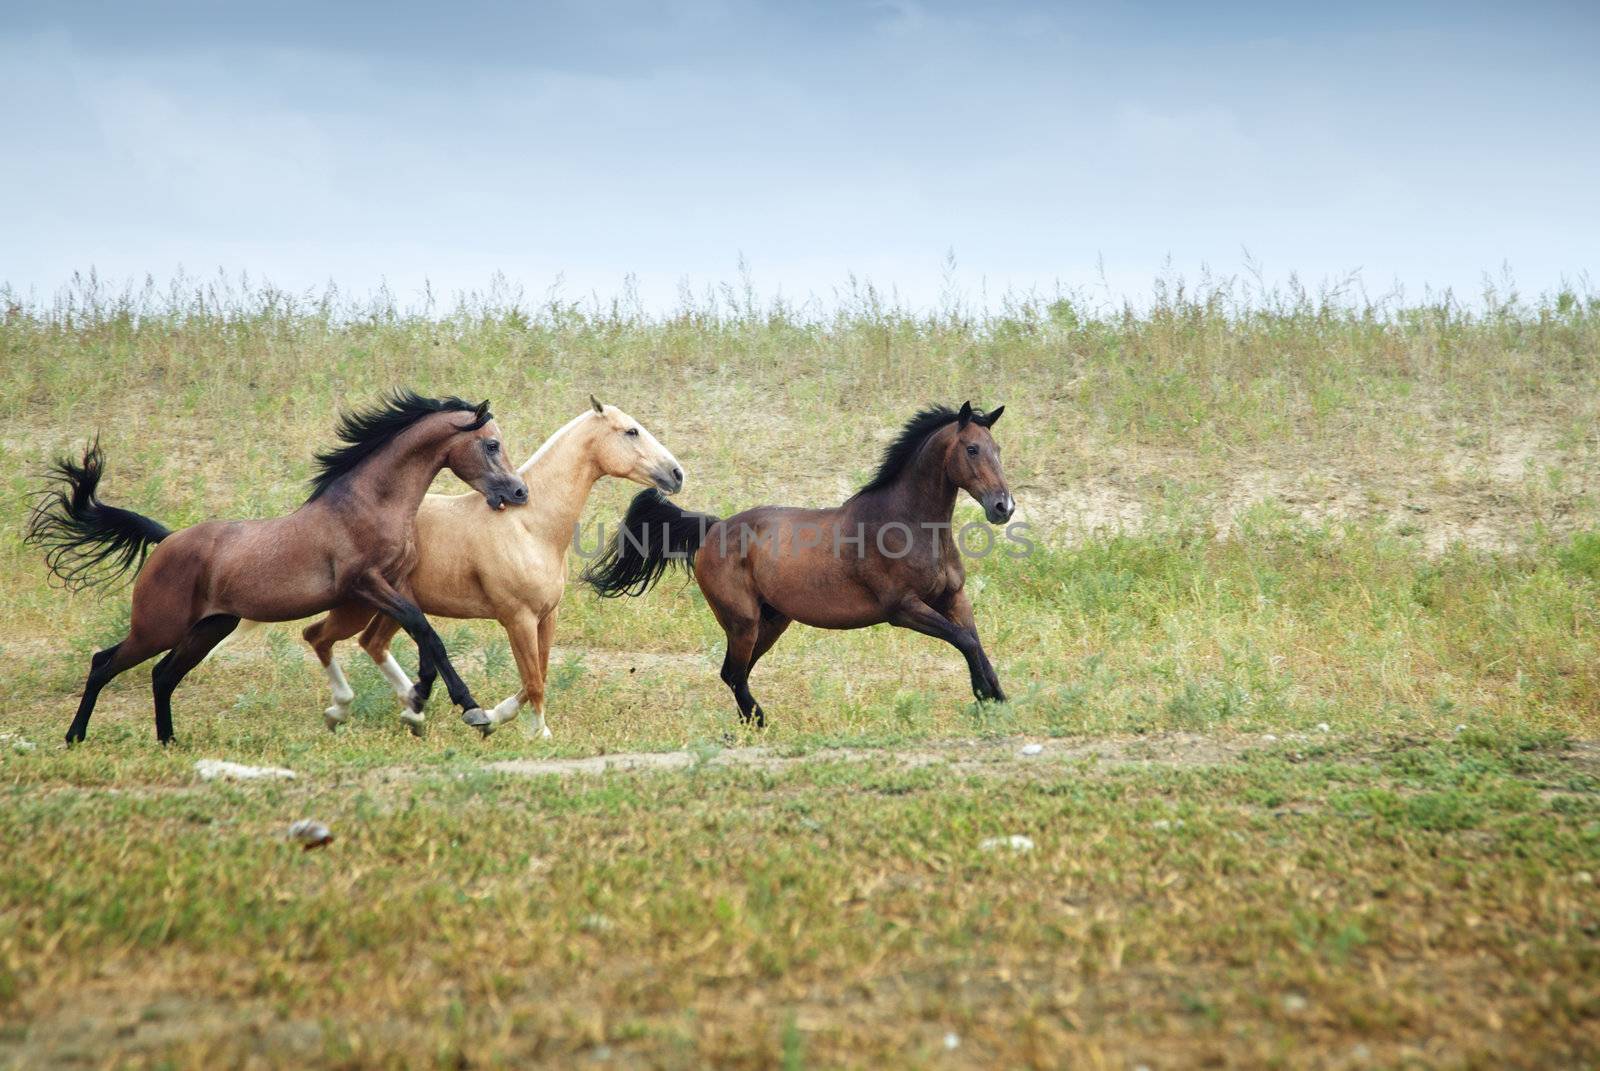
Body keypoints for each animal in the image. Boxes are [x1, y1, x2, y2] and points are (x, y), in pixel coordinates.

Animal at [25, 385, 528, 742]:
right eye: (491, 445)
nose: (519, 492)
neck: (368, 505)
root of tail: (167, 540)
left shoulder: (395, 583)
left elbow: (424, 636)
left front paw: (419, 701)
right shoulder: (365, 584)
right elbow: (427, 632)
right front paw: (471, 709)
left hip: (210, 627)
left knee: (162, 675)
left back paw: (168, 740)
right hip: (158, 627)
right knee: (104, 663)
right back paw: (75, 736)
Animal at [291, 392, 684, 736]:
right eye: (631, 431)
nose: (677, 474)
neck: (529, 526)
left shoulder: (546, 617)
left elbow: (538, 675)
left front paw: (494, 716)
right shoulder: (518, 618)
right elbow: (533, 680)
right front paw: (537, 734)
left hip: (392, 609)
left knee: (370, 643)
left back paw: (411, 711)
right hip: (358, 607)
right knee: (318, 636)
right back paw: (344, 711)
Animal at [585, 400, 1011, 726]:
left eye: (998, 449)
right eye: (972, 449)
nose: (1003, 507)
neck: (908, 524)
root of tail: (715, 527)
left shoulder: (953, 598)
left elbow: (974, 641)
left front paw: (996, 698)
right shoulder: (903, 608)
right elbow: (964, 640)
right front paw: (985, 698)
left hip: (772, 622)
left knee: (735, 674)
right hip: (743, 622)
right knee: (733, 674)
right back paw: (760, 723)